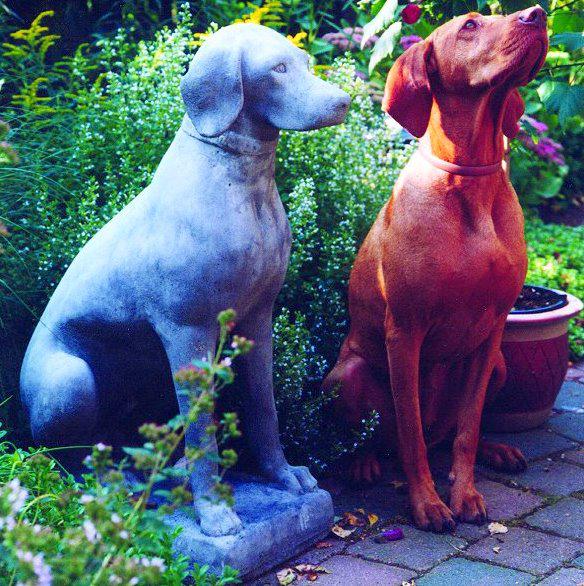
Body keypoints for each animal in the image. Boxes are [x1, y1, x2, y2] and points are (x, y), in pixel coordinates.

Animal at [324, 8, 548, 528]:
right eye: (469, 25)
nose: (538, 14)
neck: (469, 184)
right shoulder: (405, 332)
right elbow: (411, 437)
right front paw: (427, 503)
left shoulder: (494, 328)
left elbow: (468, 426)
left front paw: (464, 492)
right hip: (346, 375)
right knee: (379, 438)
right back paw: (362, 463)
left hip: (501, 363)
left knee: (450, 434)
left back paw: (496, 450)